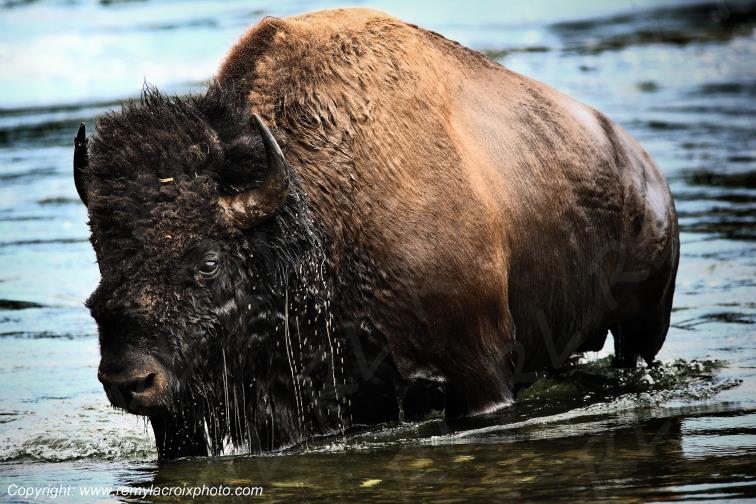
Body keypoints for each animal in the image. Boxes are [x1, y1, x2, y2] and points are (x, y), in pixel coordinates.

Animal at [75, 8, 679, 459]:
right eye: (101, 252)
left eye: (208, 262)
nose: (129, 380)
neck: (310, 210)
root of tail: (646, 171)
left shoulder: (479, 376)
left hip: (642, 329)